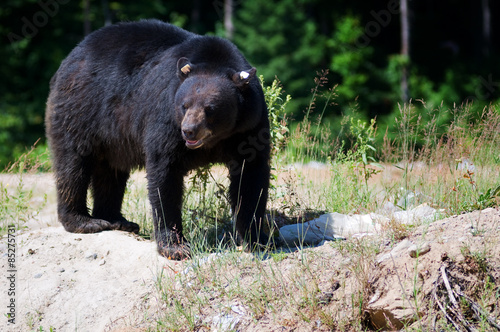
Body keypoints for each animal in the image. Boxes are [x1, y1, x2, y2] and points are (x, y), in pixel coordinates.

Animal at [45, 20, 272, 260]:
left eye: (210, 108)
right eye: (184, 105)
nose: (189, 131)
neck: (218, 138)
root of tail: (70, 57)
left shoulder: (250, 125)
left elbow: (251, 177)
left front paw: (257, 238)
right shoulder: (165, 117)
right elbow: (165, 173)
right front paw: (175, 246)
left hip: (113, 136)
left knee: (111, 172)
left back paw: (117, 220)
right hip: (81, 110)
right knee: (72, 164)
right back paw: (84, 221)